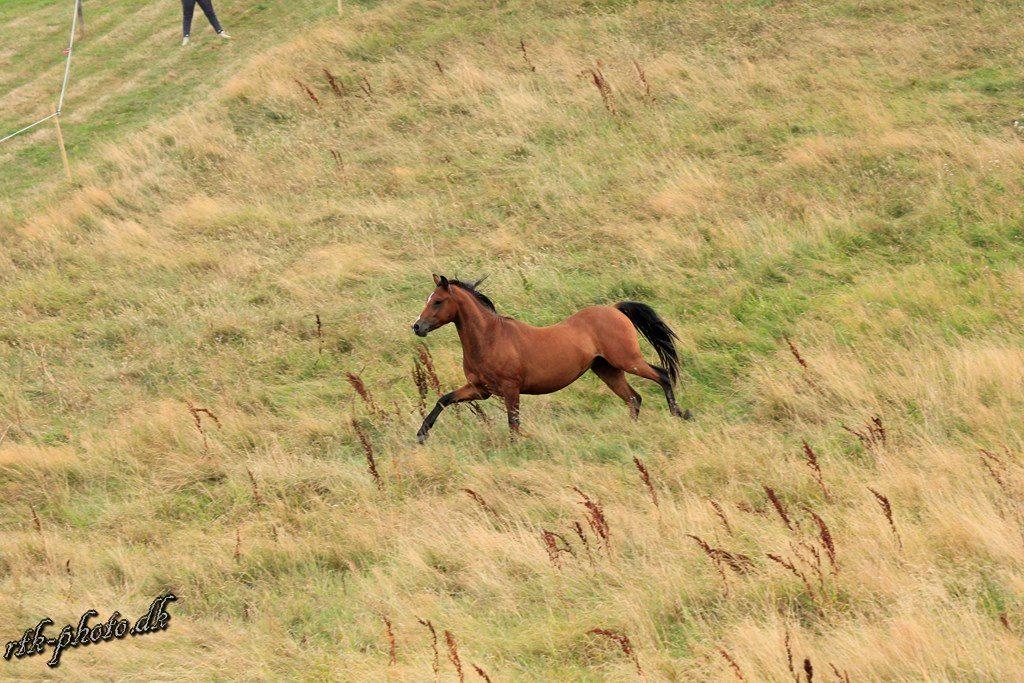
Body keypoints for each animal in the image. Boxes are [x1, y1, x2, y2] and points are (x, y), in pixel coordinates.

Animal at [411, 274, 690, 442]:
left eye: (437, 301)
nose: (417, 326)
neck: (490, 338)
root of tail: (615, 310)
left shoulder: (510, 389)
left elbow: (513, 422)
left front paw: (514, 448)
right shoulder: (480, 389)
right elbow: (444, 400)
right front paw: (422, 434)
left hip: (627, 360)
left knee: (661, 375)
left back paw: (679, 414)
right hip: (607, 369)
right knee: (633, 398)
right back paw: (630, 432)